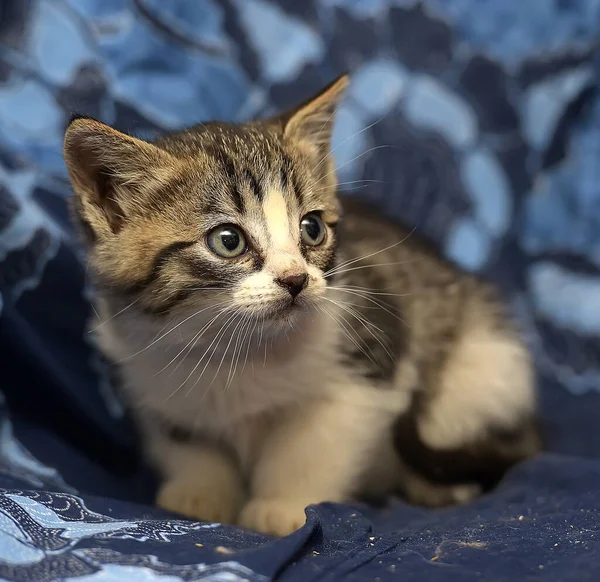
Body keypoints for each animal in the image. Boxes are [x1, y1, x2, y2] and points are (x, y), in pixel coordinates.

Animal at [63, 76, 540, 540]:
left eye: (311, 229)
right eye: (228, 240)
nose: (295, 279)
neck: (238, 350)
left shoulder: (368, 359)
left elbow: (313, 444)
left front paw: (284, 506)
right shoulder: (149, 377)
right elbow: (187, 442)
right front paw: (199, 495)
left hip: (481, 371)